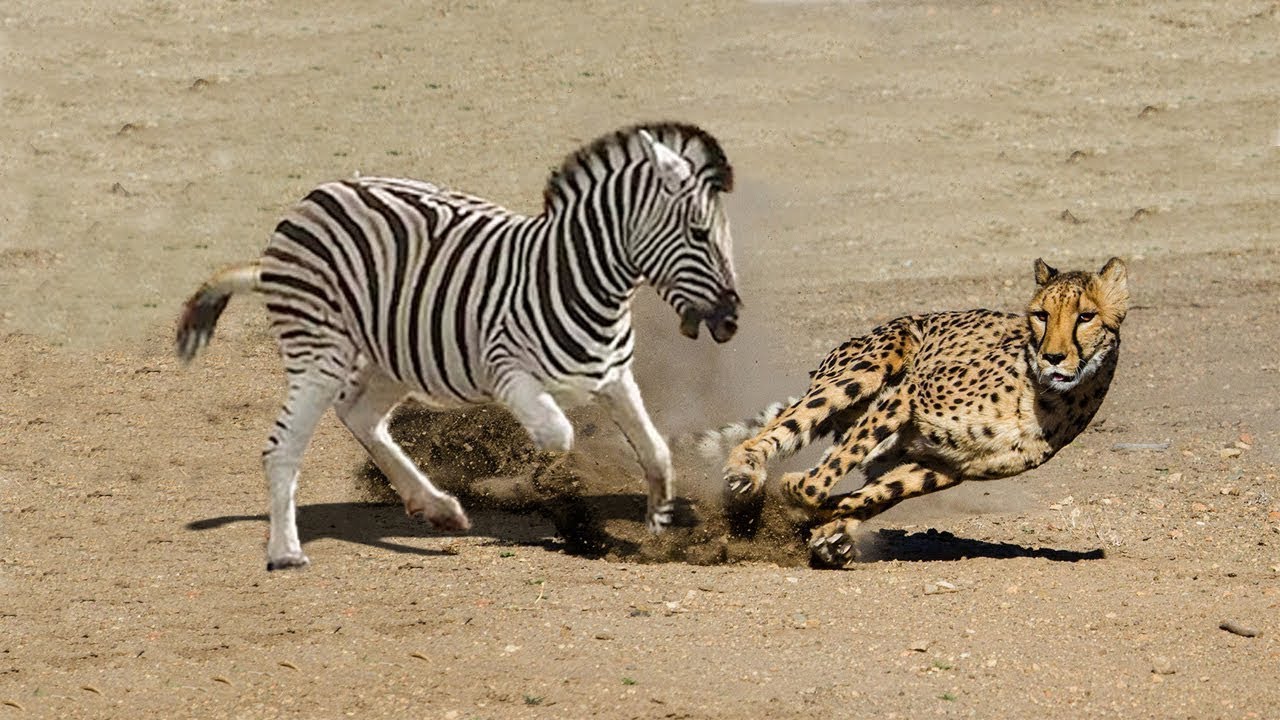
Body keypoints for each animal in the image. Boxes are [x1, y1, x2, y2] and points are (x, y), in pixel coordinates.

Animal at [175, 122, 741, 570]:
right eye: (698, 232)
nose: (732, 320)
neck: (575, 280)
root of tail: (316, 196)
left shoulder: (615, 376)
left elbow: (655, 450)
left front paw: (659, 524)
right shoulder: (508, 372)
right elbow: (559, 435)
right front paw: (556, 493)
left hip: (395, 351)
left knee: (359, 414)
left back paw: (434, 505)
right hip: (321, 352)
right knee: (282, 448)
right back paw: (285, 552)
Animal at [721, 257, 1130, 567]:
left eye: (1086, 316)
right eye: (1042, 315)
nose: (1053, 356)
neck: (1046, 395)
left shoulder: (945, 466)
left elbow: (869, 496)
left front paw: (820, 522)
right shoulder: (910, 394)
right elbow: (820, 484)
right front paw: (793, 493)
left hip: (895, 449)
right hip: (869, 368)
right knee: (787, 426)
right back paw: (745, 471)